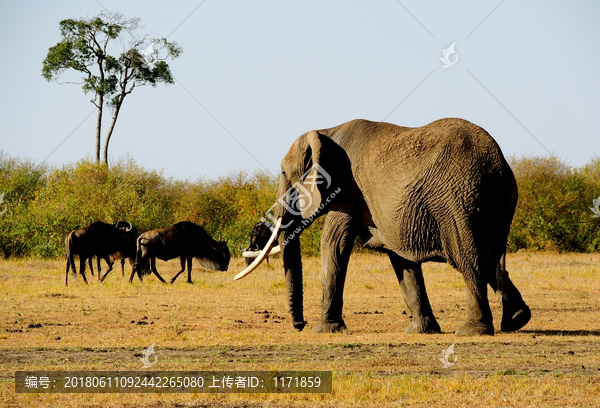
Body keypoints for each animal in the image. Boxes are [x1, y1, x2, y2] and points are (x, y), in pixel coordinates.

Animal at [237, 117, 532, 334]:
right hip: (496, 201)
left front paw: (323, 330)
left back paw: (472, 331)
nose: (300, 325)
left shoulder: (347, 191)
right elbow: (400, 259)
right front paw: (419, 331)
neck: (326, 131)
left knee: (468, 260)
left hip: (458, 201)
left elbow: (333, 245)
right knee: (492, 260)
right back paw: (517, 320)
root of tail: (498, 164)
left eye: (284, 173)